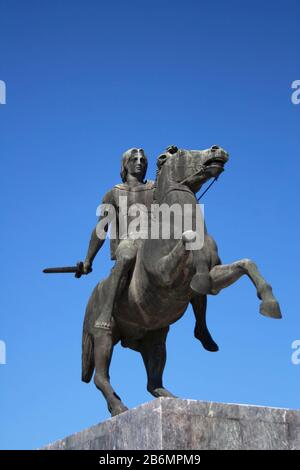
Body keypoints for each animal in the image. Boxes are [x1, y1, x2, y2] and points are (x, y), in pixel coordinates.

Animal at [81, 145, 282, 416]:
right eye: (178, 151)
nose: (218, 150)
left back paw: (170, 395)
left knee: (153, 380)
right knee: (101, 376)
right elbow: (188, 239)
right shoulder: (163, 273)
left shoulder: (216, 275)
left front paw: (269, 303)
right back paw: (118, 407)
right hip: (104, 336)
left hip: (155, 339)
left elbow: (246, 264)